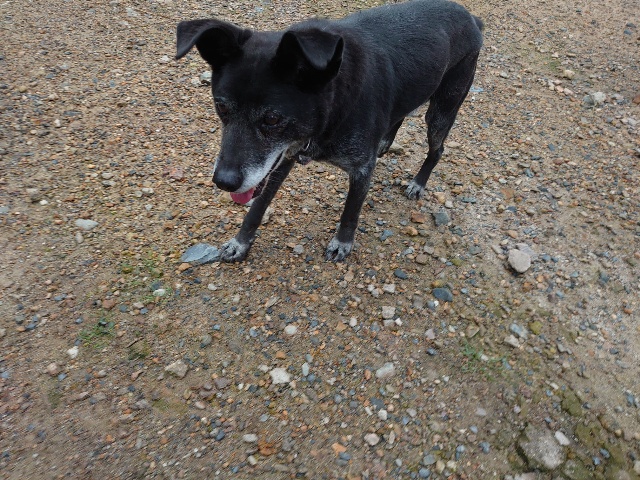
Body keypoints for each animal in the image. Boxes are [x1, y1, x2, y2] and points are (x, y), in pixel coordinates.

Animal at [176, 0, 483, 262]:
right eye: (221, 107)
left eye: (272, 119)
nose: (224, 182)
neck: (333, 101)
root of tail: (471, 17)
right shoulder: (284, 157)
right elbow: (257, 205)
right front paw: (240, 242)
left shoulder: (360, 169)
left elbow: (351, 211)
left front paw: (342, 243)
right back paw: (385, 140)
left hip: (442, 110)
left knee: (437, 149)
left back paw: (418, 182)